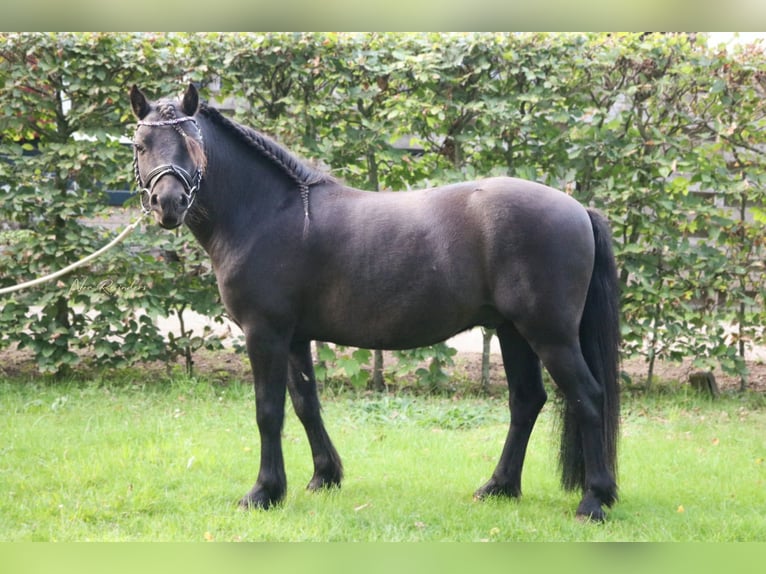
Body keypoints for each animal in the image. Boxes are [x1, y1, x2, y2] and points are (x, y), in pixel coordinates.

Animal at [129, 83, 621, 521]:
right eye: (140, 144)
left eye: (192, 142)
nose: (168, 203)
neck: (269, 213)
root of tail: (579, 209)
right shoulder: (294, 338)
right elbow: (306, 403)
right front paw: (324, 477)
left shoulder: (264, 333)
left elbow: (268, 411)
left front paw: (264, 492)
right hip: (512, 331)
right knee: (526, 401)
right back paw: (498, 487)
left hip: (549, 335)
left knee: (588, 397)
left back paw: (594, 500)